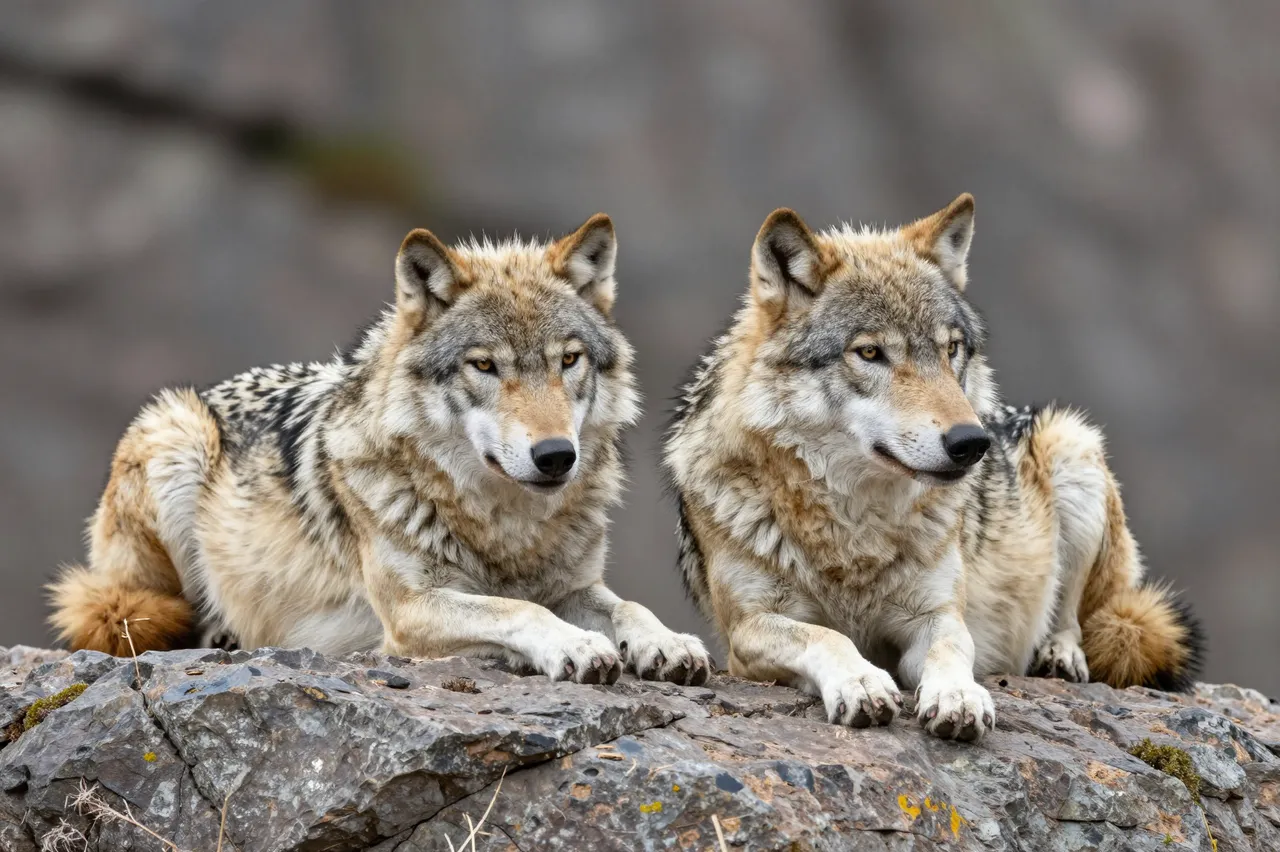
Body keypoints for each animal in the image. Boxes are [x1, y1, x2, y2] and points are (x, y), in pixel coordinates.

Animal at [49, 214, 712, 686]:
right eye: (484, 366)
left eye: (568, 360)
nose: (555, 456)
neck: (504, 531)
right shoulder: (408, 611)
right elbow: (515, 611)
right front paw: (571, 646)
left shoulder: (575, 586)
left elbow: (629, 606)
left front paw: (666, 641)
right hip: (176, 435)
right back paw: (222, 637)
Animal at [664, 195, 1202, 740]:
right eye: (870, 352)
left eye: (951, 349)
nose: (971, 442)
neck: (854, 530)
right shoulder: (748, 628)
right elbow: (828, 637)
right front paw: (861, 682)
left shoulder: (936, 613)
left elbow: (951, 648)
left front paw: (958, 696)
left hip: (1074, 451)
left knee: (1076, 619)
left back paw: (1058, 655)